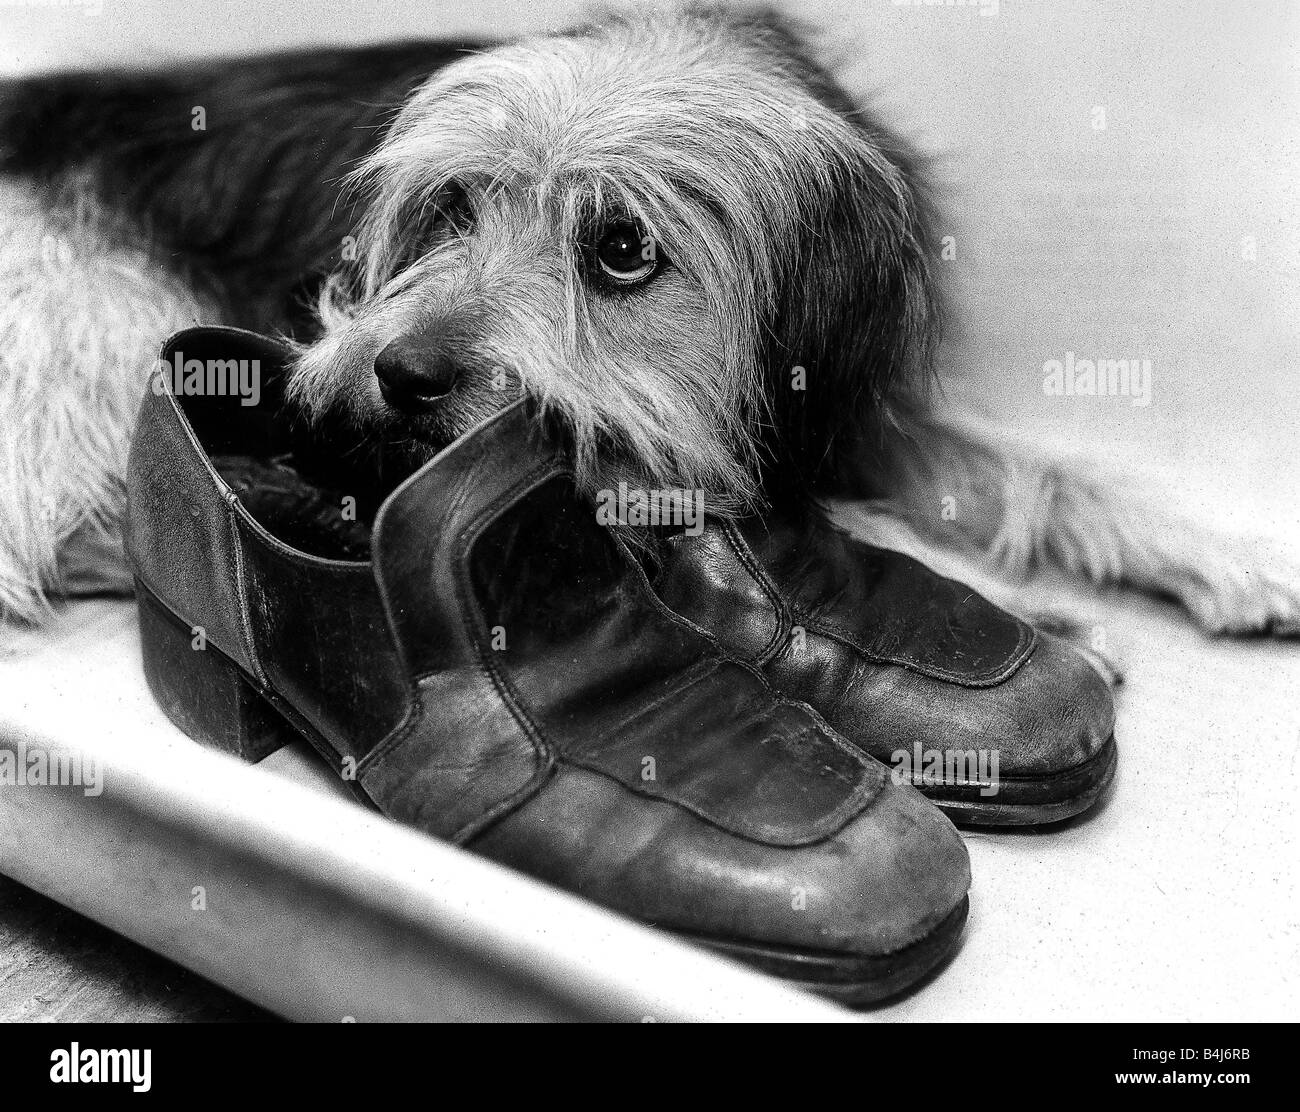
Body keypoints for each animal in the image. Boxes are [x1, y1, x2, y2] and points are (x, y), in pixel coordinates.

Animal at [2, 4, 1300, 639]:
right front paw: (976, 588)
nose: (403, 373)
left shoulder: (843, 408)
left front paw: (1221, 549)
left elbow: (1044, 472)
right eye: (454, 203)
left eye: (621, 247)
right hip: (99, 323)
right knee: (53, 537)